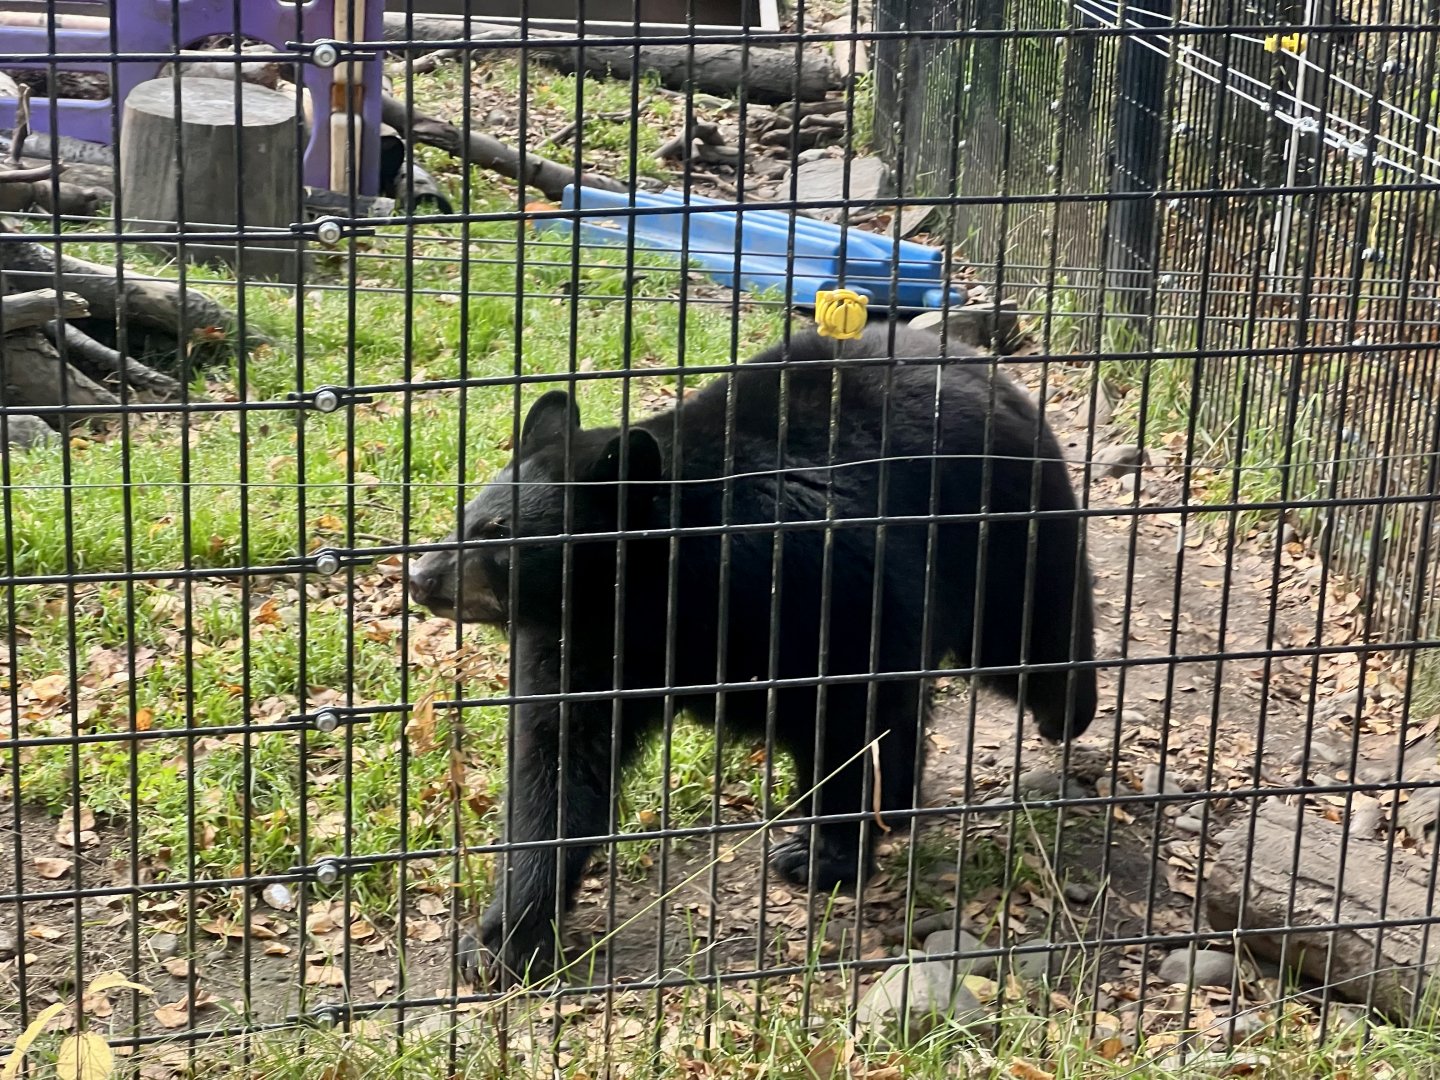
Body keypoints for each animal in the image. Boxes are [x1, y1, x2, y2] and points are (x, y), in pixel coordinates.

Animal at [407, 322, 1097, 985]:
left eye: (499, 535)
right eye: (466, 516)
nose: (421, 575)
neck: (659, 592)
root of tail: (984, 366)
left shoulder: (819, 587)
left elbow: (850, 720)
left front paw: (822, 857)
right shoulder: (582, 646)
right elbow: (555, 767)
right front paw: (502, 941)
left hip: (1000, 523)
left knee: (1031, 628)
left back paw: (1064, 713)